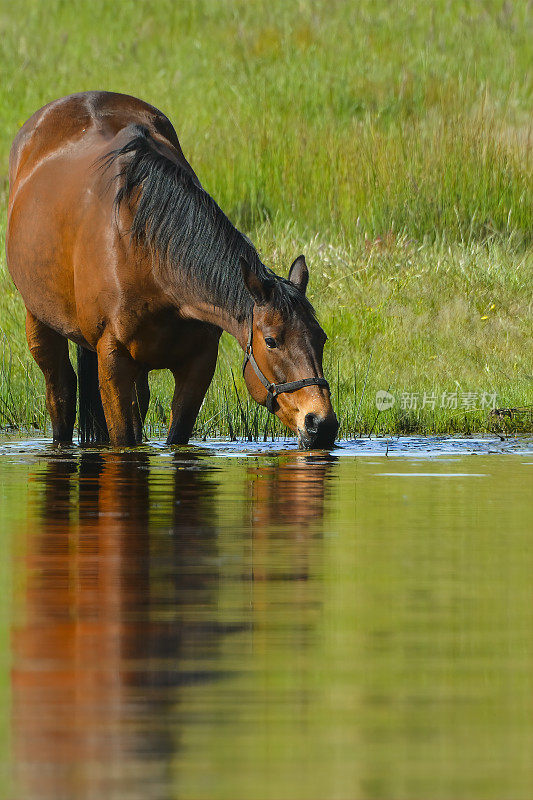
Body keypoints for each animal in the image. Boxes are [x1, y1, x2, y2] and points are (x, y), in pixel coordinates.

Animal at [6, 92, 336, 450]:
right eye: (272, 341)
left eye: (321, 338)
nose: (321, 424)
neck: (151, 258)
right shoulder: (112, 359)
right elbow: (122, 438)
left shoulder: (198, 363)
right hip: (39, 321)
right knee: (61, 392)